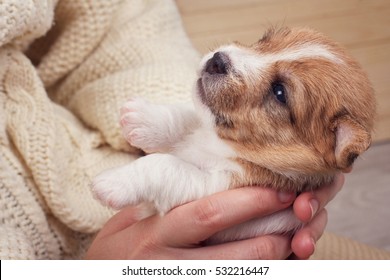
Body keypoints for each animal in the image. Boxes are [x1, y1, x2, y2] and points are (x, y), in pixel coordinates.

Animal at [91, 27, 374, 244]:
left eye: (280, 93)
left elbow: (165, 165)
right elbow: (185, 118)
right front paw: (142, 116)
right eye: (264, 39)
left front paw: (113, 182)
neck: (225, 146)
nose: (217, 60)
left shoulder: (215, 186)